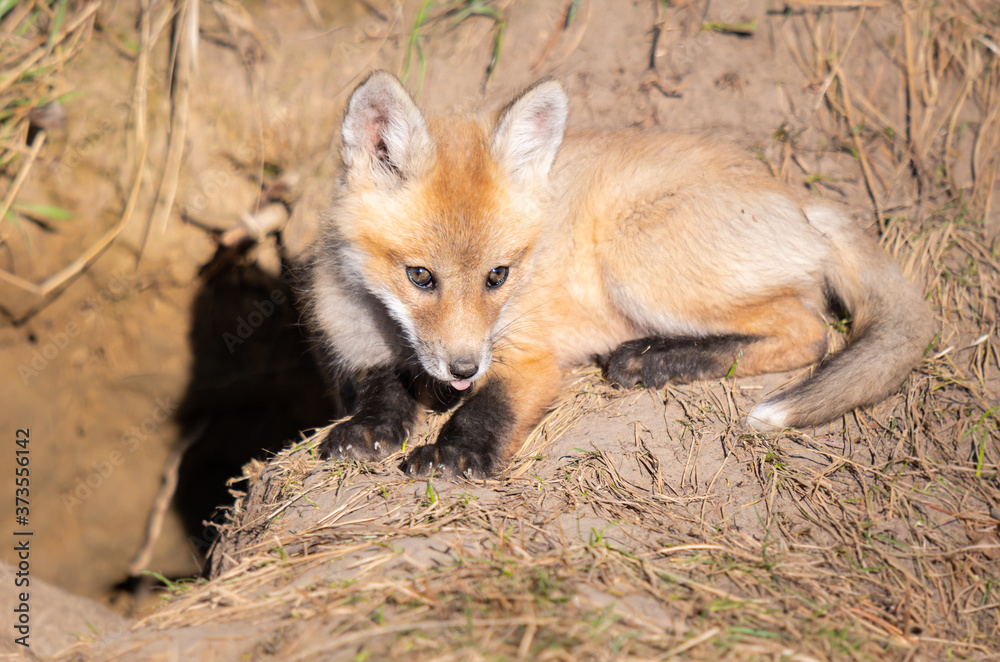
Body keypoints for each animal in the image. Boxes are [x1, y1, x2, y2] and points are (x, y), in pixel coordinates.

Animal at [306, 70, 935, 478]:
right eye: (420, 276)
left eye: (498, 276)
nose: (464, 368)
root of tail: (800, 201)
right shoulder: (360, 347)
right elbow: (381, 388)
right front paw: (370, 427)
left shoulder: (527, 353)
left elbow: (493, 405)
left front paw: (456, 452)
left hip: (632, 258)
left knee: (809, 331)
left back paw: (655, 361)